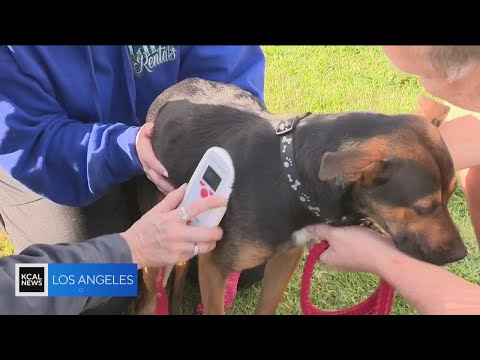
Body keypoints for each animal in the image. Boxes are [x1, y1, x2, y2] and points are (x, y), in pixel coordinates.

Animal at [135, 77, 464, 314]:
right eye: (425, 207)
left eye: (451, 195)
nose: (460, 254)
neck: (291, 178)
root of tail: (175, 88)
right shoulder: (215, 268)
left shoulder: (287, 256)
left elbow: (267, 306)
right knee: (152, 288)